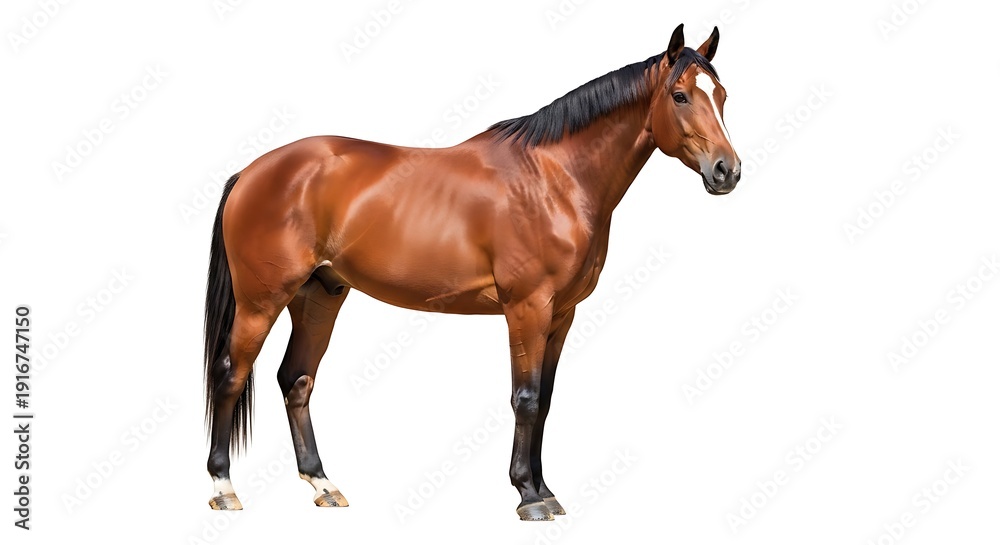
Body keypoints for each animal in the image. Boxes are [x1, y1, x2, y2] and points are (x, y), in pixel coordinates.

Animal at [203, 23, 740, 521]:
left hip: (320, 294)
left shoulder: (561, 315)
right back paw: (224, 489)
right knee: (231, 374)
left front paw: (546, 490)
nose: (727, 171)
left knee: (296, 379)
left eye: (722, 95)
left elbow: (545, 400)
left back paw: (323, 485)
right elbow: (526, 397)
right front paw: (528, 496)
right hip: (262, 300)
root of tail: (251, 172)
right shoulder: (527, 307)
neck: (554, 180)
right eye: (680, 95)